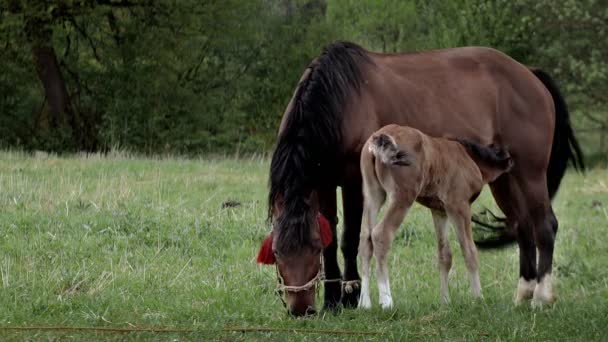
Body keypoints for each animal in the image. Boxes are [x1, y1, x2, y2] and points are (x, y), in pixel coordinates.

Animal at [358, 124, 516, 308]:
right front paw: (478, 299)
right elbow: (469, 251)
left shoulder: (439, 210)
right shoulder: (458, 205)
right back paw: (386, 302)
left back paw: (365, 303)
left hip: (373, 194)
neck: (470, 158)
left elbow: (444, 255)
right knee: (381, 234)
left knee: (365, 239)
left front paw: (445, 301)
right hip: (403, 196)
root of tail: (378, 138)